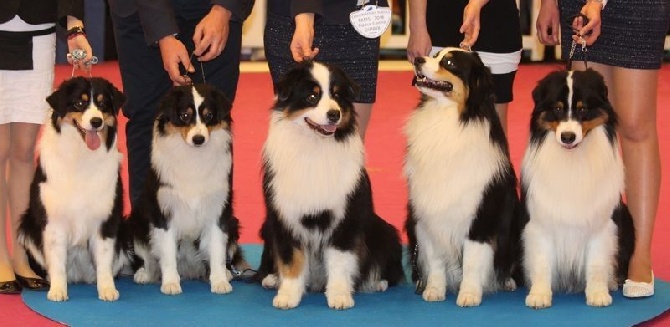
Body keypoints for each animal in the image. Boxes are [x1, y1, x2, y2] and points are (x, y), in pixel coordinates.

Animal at [17, 77, 128, 302]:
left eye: (103, 104)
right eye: (79, 103)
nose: (96, 122)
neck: (81, 155)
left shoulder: (106, 219)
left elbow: (104, 260)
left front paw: (107, 289)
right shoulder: (54, 221)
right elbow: (57, 261)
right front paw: (58, 291)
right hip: (27, 225)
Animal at [124, 84, 249, 298]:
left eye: (208, 115)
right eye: (184, 115)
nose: (199, 139)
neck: (194, 157)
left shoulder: (218, 212)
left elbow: (217, 251)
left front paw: (219, 282)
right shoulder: (163, 213)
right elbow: (167, 254)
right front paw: (170, 283)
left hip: (233, 223)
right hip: (136, 221)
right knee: (147, 256)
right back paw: (145, 273)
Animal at [256, 60, 404, 310]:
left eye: (337, 95)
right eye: (312, 96)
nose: (334, 114)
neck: (315, 147)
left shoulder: (345, 216)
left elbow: (340, 261)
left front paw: (340, 296)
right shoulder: (285, 215)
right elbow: (290, 259)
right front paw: (288, 295)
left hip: (385, 230)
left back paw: (377, 282)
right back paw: (271, 279)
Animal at [404, 48, 524, 308]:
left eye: (449, 63)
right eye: (435, 54)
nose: (418, 60)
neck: (448, 116)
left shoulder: (480, 217)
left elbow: (472, 261)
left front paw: (469, 294)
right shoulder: (427, 216)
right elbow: (435, 258)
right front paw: (434, 290)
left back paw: (507, 281)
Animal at [524, 68, 636, 308]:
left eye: (583, 109)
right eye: (557, 108)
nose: (568, 137)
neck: (573, 158)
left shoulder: (602, 222)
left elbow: (597, 262)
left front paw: (598, 294)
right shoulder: (540, 220)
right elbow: (541, 261)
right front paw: (539, 295)